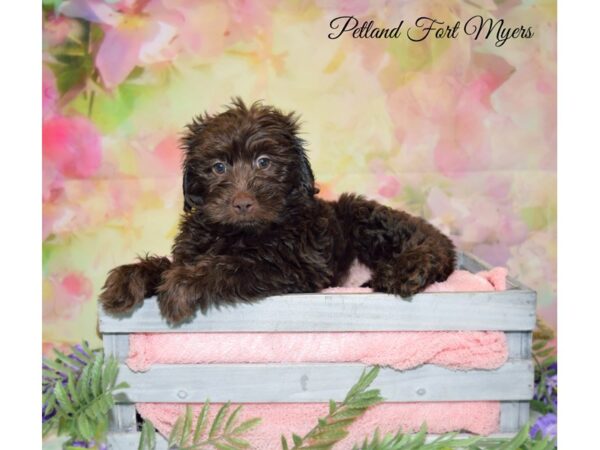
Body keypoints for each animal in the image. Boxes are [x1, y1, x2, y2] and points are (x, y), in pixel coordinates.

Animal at [99, 97, 454, 324]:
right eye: (218, 167)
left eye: (264, 162)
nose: (242, 202)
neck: (239, 233)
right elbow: (166, 264)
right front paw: (126, 280)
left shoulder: (293, 266)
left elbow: (232, 264)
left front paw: (181, 287)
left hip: (366, 218)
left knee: (430, 246)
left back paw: (405, 270)